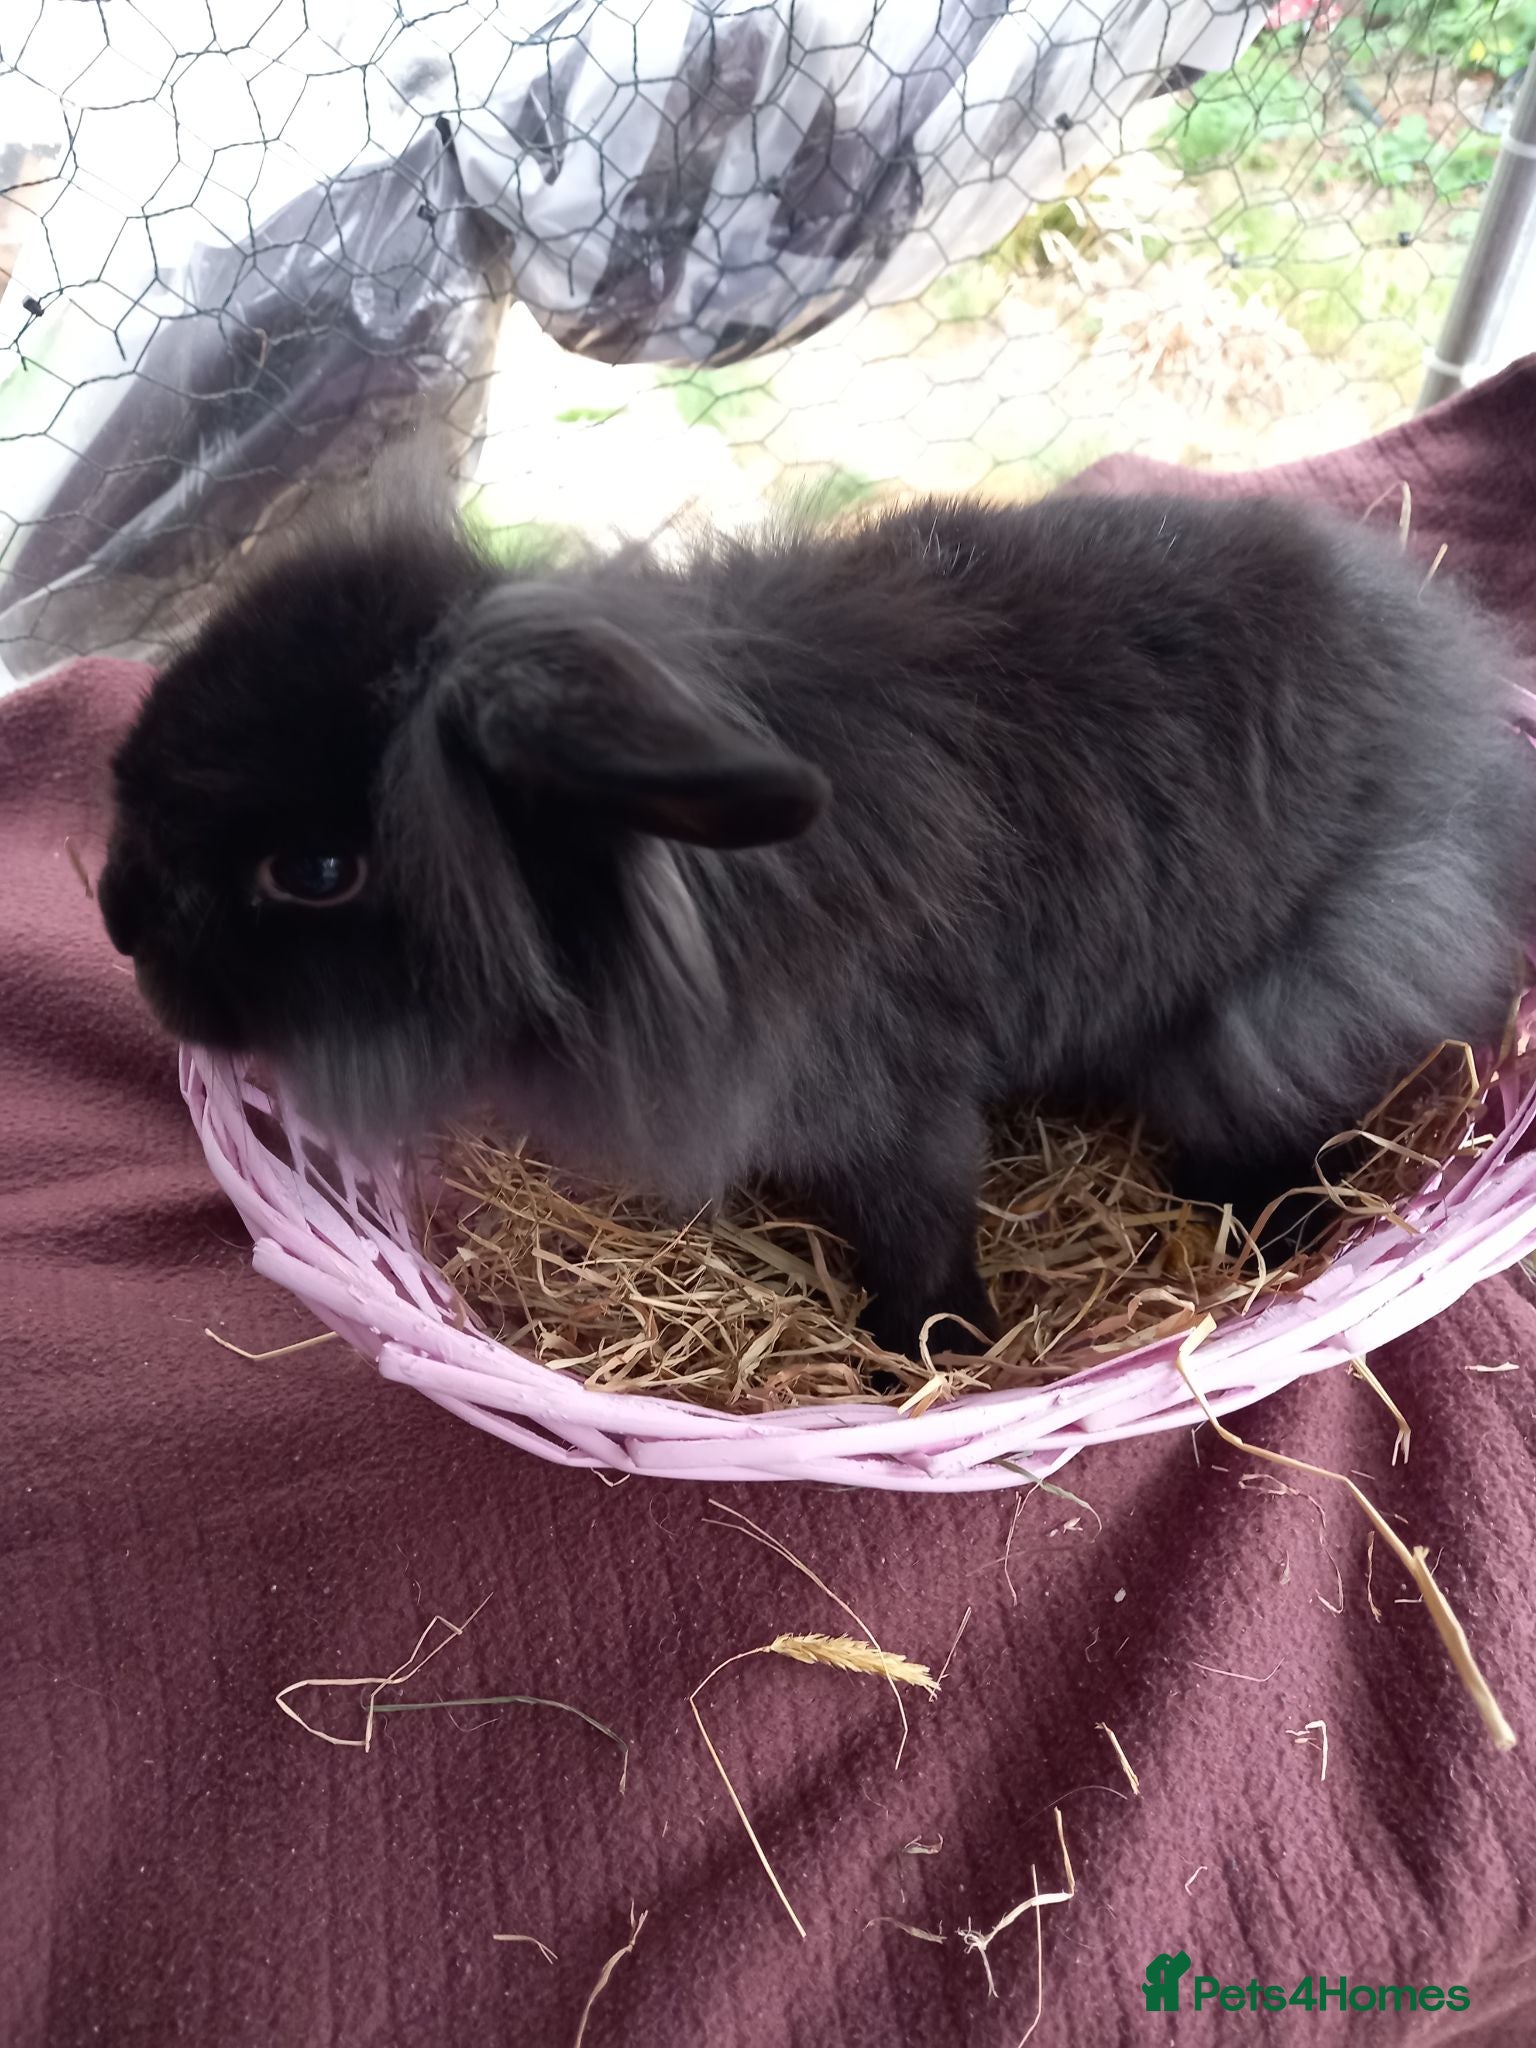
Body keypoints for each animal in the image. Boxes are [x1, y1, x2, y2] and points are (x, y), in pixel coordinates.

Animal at [99, 475, 1536, 1359]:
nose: (115, 918)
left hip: (1274, 1019)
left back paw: (1272, 1228)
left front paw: (935, 1350)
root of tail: (1476, 758)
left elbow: (921, 1230)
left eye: (318, 870)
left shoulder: (896, 1116)